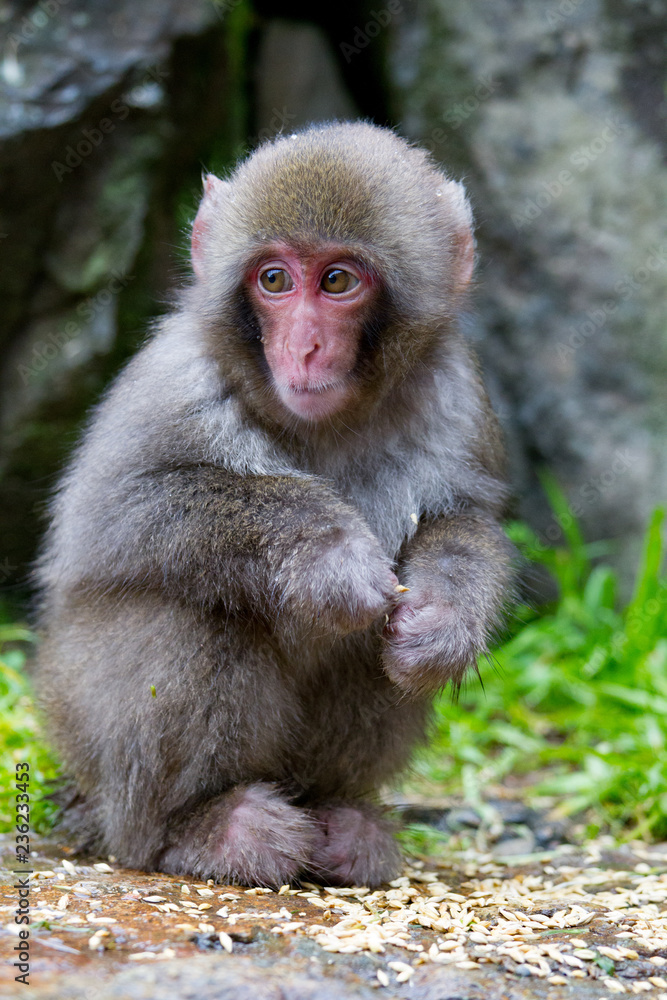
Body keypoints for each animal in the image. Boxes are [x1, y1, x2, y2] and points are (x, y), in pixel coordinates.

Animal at [35, 121, 513, 889]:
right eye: (275, 280)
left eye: (338, 280)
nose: (305, 345)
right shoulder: (174, 379)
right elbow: (118, 514)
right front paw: (326, 553)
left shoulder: (458, 394)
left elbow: (464, 521)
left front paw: (444, 617)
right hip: (80, 722)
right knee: (194, 610)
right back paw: (192, 831)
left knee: (365, 653)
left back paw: (337, 821)